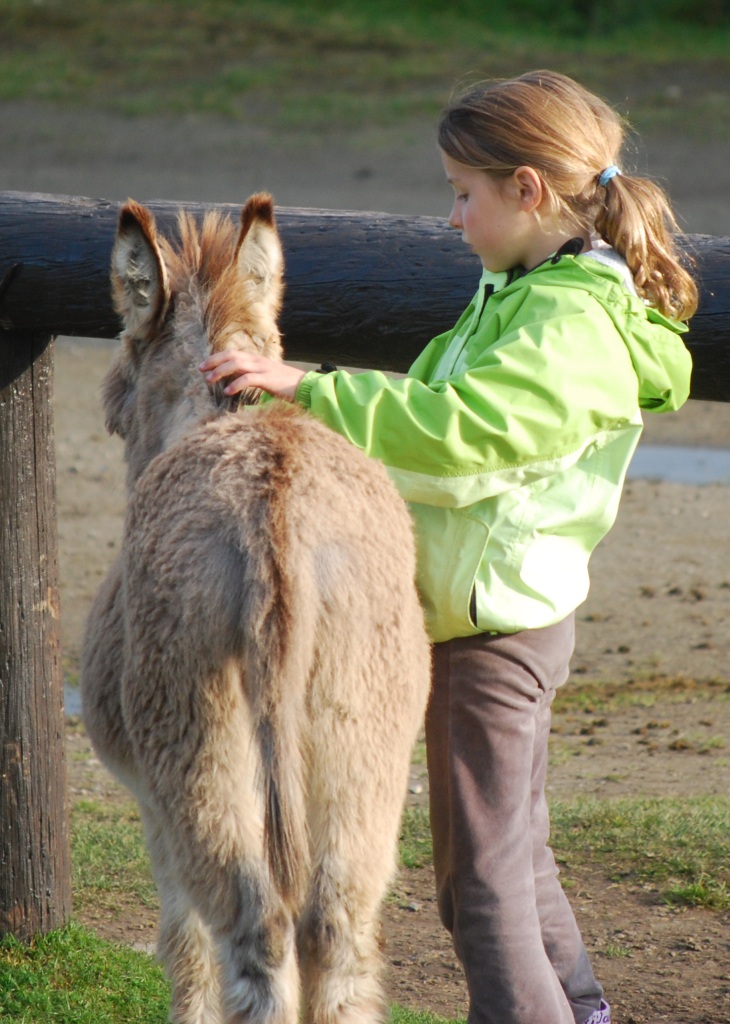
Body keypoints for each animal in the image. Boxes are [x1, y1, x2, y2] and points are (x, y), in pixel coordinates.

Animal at [80, 193, 431, 1024]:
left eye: (120, 380)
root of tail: (276, 507)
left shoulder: (151, 804)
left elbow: (183, 947)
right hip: (362, 742)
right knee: (337, 936)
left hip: (197, 744)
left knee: (256, 936)